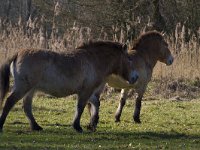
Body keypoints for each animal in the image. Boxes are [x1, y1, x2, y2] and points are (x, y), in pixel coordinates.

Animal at [0, 40, 138, 132]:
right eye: (129, 59)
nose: (135, 77)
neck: (93, 60)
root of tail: (18, 53)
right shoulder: (85, 91)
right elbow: (80, 107)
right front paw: (77, 126)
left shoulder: (88, 91)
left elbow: (95, 103)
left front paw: (92, 124)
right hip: (23, 87)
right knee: (9, 102)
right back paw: (2, 126)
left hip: (30, 90)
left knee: (27, 107)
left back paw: (36, 126)